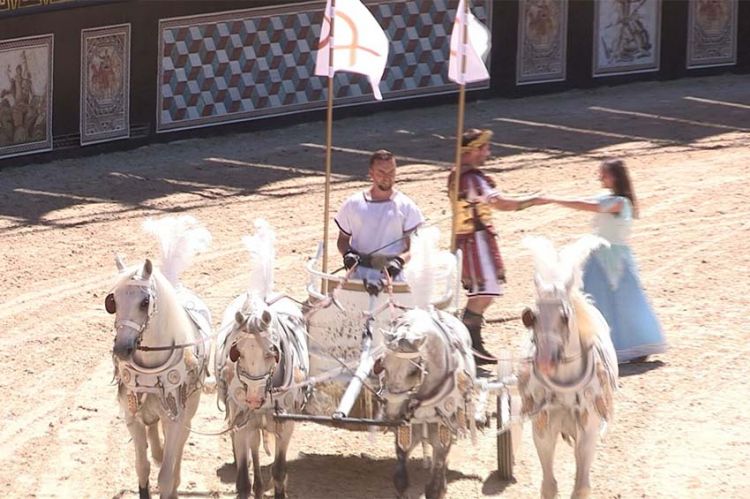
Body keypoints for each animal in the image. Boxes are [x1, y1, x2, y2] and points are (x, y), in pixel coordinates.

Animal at [106, 216, 212, 499]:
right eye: (113, 301)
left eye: (145, 302)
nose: (122, 349)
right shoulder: (131, 416)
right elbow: (142, 466)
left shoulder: (175, 418)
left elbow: (165, 474)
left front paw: (171, 483)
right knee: (153, 436)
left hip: (188, 411)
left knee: (178, 450)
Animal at [216, 222, 310, 499]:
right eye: (236, 352)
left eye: (272, 352)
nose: (255, 398)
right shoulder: (241, 420)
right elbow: (242, 479)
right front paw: (249, 486)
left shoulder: (286, 423)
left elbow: (279, 472)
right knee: (255, 447)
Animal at [378, 229, 478, 499]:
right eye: (382, 365)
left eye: (414, 371)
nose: (392, 413)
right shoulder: (406, 429)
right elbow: (400, 478)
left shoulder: (443, 428)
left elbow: (434, 484)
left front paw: (437, 485)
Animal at [520, 235, 620, 499]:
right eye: (531, 316)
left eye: (564, 316)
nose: (545, 361)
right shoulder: (543, 430)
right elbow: (549, 485)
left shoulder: (588, 432)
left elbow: (581, 487)